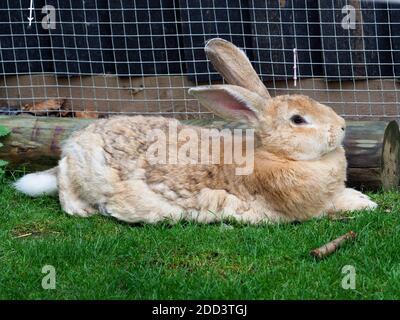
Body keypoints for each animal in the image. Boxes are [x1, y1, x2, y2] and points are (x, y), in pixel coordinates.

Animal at [14, 38, 376, 224]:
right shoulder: (302, 209)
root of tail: (76, 140)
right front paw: (365, 204)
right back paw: (80, 209)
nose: (342, 127)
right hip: (83, 169)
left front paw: (363, 199)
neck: (274, 155)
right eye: (298, 120)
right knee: (65, 183)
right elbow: (333, 206)